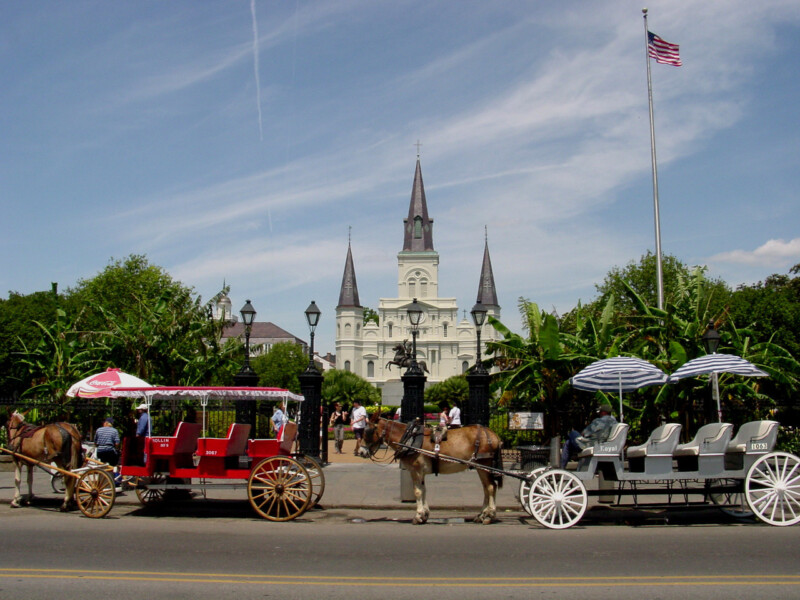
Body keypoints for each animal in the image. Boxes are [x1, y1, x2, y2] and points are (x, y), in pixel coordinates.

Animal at [360, 412, 504, 524]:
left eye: (367, 432)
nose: (360, 452)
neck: (408, 438)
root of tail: (493, 435)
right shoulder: (421, 472)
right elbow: (423, 490)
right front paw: (425, 514)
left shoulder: (416, 470)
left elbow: (417, 491)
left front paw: (418, 516)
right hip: (481, 466)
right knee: (486, 488)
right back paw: (481, 515)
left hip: (484, 464)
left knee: (490, 487)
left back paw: (489, 516)